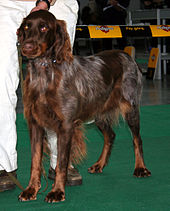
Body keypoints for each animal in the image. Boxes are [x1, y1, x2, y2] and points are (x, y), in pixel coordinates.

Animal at [16, 10, 150, 203]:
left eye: (44, 27)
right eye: (27, 26)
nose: (26, 47)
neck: (45, 75)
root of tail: (128, 56)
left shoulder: (65, 126)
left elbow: (61, 163)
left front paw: (57, 191)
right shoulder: (35, 124)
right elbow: (35, 161)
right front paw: (31, 189)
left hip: (130, 108)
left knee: (137, 139)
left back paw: (140, 168)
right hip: (98, 114)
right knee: (110, 135)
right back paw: (99, 165)